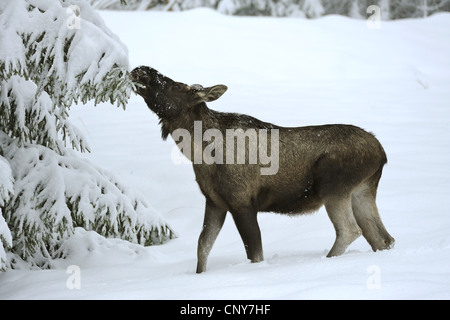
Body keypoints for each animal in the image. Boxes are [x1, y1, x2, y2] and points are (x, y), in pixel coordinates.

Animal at [129, 66, 394, 274]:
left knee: (350, 230)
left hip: (333, 187)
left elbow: (254, 254)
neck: (200, 154)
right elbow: (202, 247)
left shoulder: (242, 202)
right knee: (382, 237)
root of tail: (382, 153)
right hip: (362, 190)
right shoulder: (215, 202)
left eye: (180, 86)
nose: (141, 69)